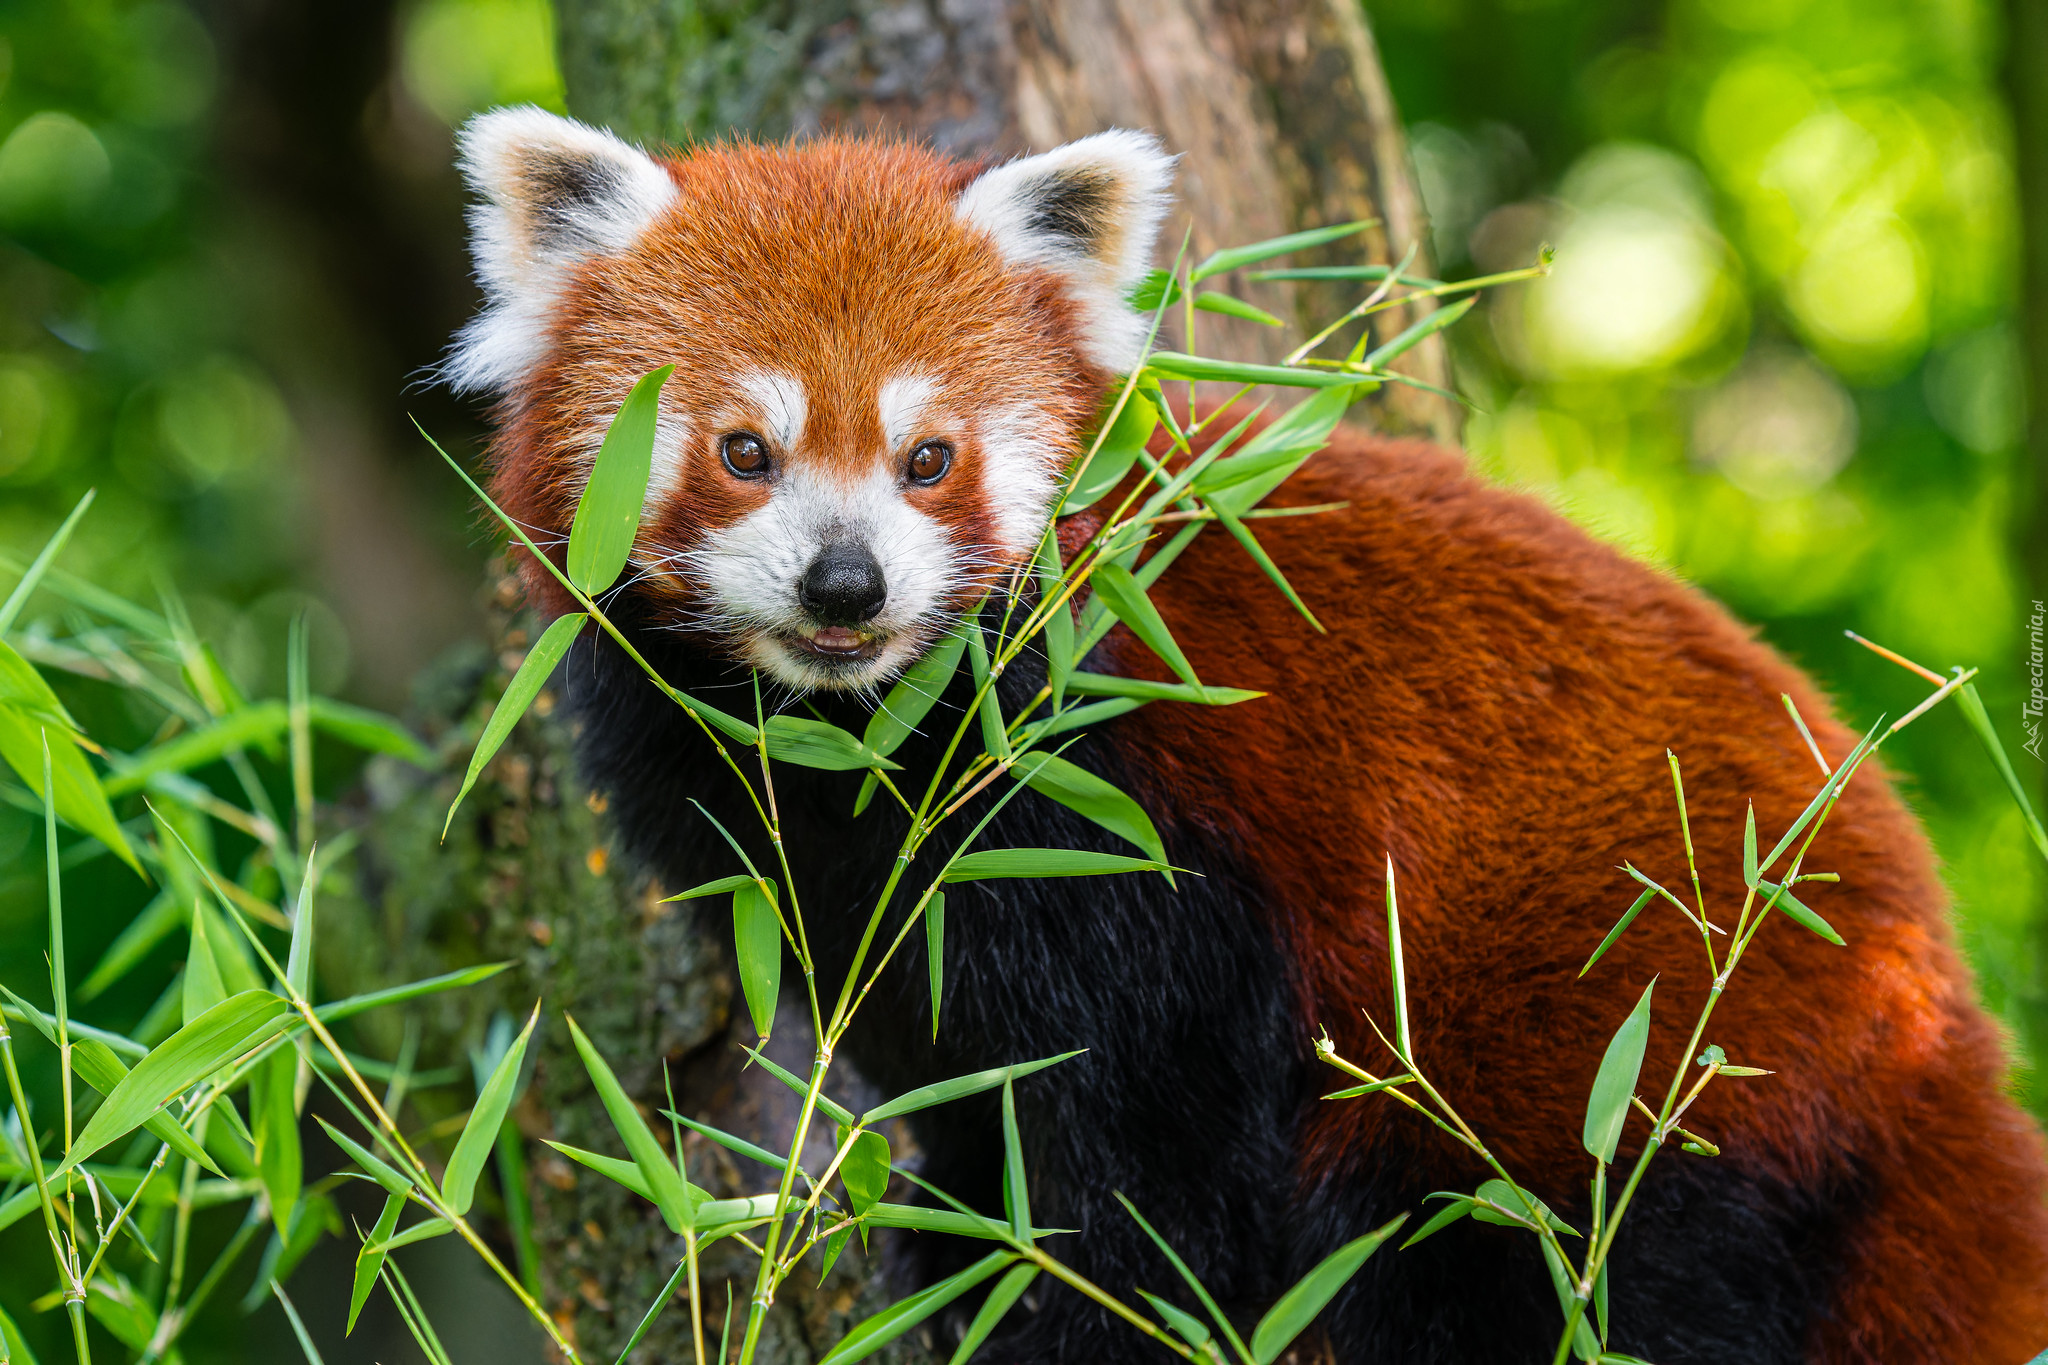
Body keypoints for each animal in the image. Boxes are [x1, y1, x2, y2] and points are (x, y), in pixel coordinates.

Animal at [448, 109, 2048, 1365]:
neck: (871, 737)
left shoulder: (1136, 822)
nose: (848, 585)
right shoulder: (825, 860)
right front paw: (957, 1244)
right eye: (745, 451)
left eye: (927, 458)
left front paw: (1066, 1313)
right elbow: (953, 1063)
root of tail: (1934, 1013)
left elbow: (1148, 1141)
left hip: (1618, 1048)